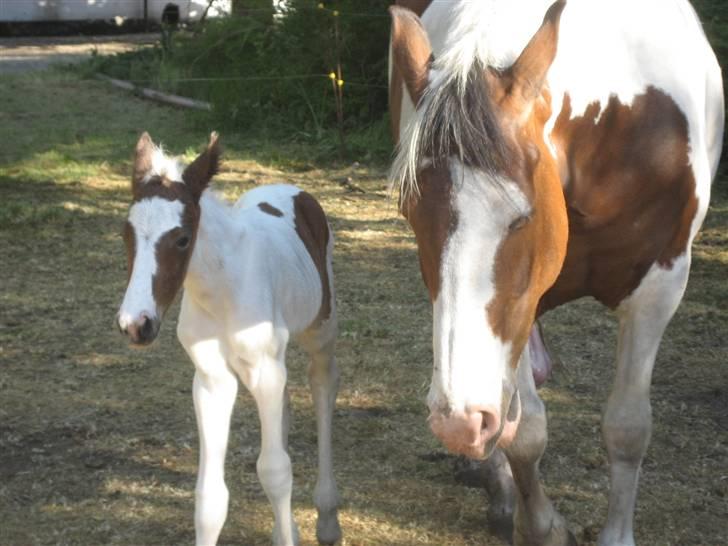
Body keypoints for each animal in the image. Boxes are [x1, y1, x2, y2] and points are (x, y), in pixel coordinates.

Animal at [116, 133, 342, 544]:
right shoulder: (212, 379)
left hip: (321, 328)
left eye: (182, 239)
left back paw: (327, 518)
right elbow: (210, 497)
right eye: (127, 234)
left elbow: (275, 471)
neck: (221, 290)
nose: (136, 323)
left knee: (323, 385)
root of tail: (292, 189)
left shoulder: (265, 369)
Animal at [390, 1, 720, 544]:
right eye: (411, 216)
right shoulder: (524, 305)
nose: (457, 424)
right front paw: (540, 525)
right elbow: (524, 432)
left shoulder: (660, 287)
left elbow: (627, 427)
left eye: (522, 216)